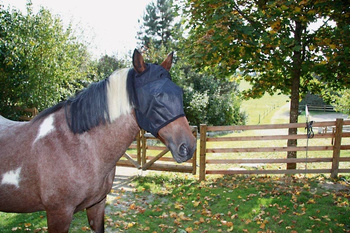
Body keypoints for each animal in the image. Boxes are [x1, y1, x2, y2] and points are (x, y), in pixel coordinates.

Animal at [0, 48, 197, 231]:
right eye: (156, 96)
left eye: (179, 93)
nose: (188, 147)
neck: (76, 146)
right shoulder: (59, 213)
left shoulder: (97, 204)